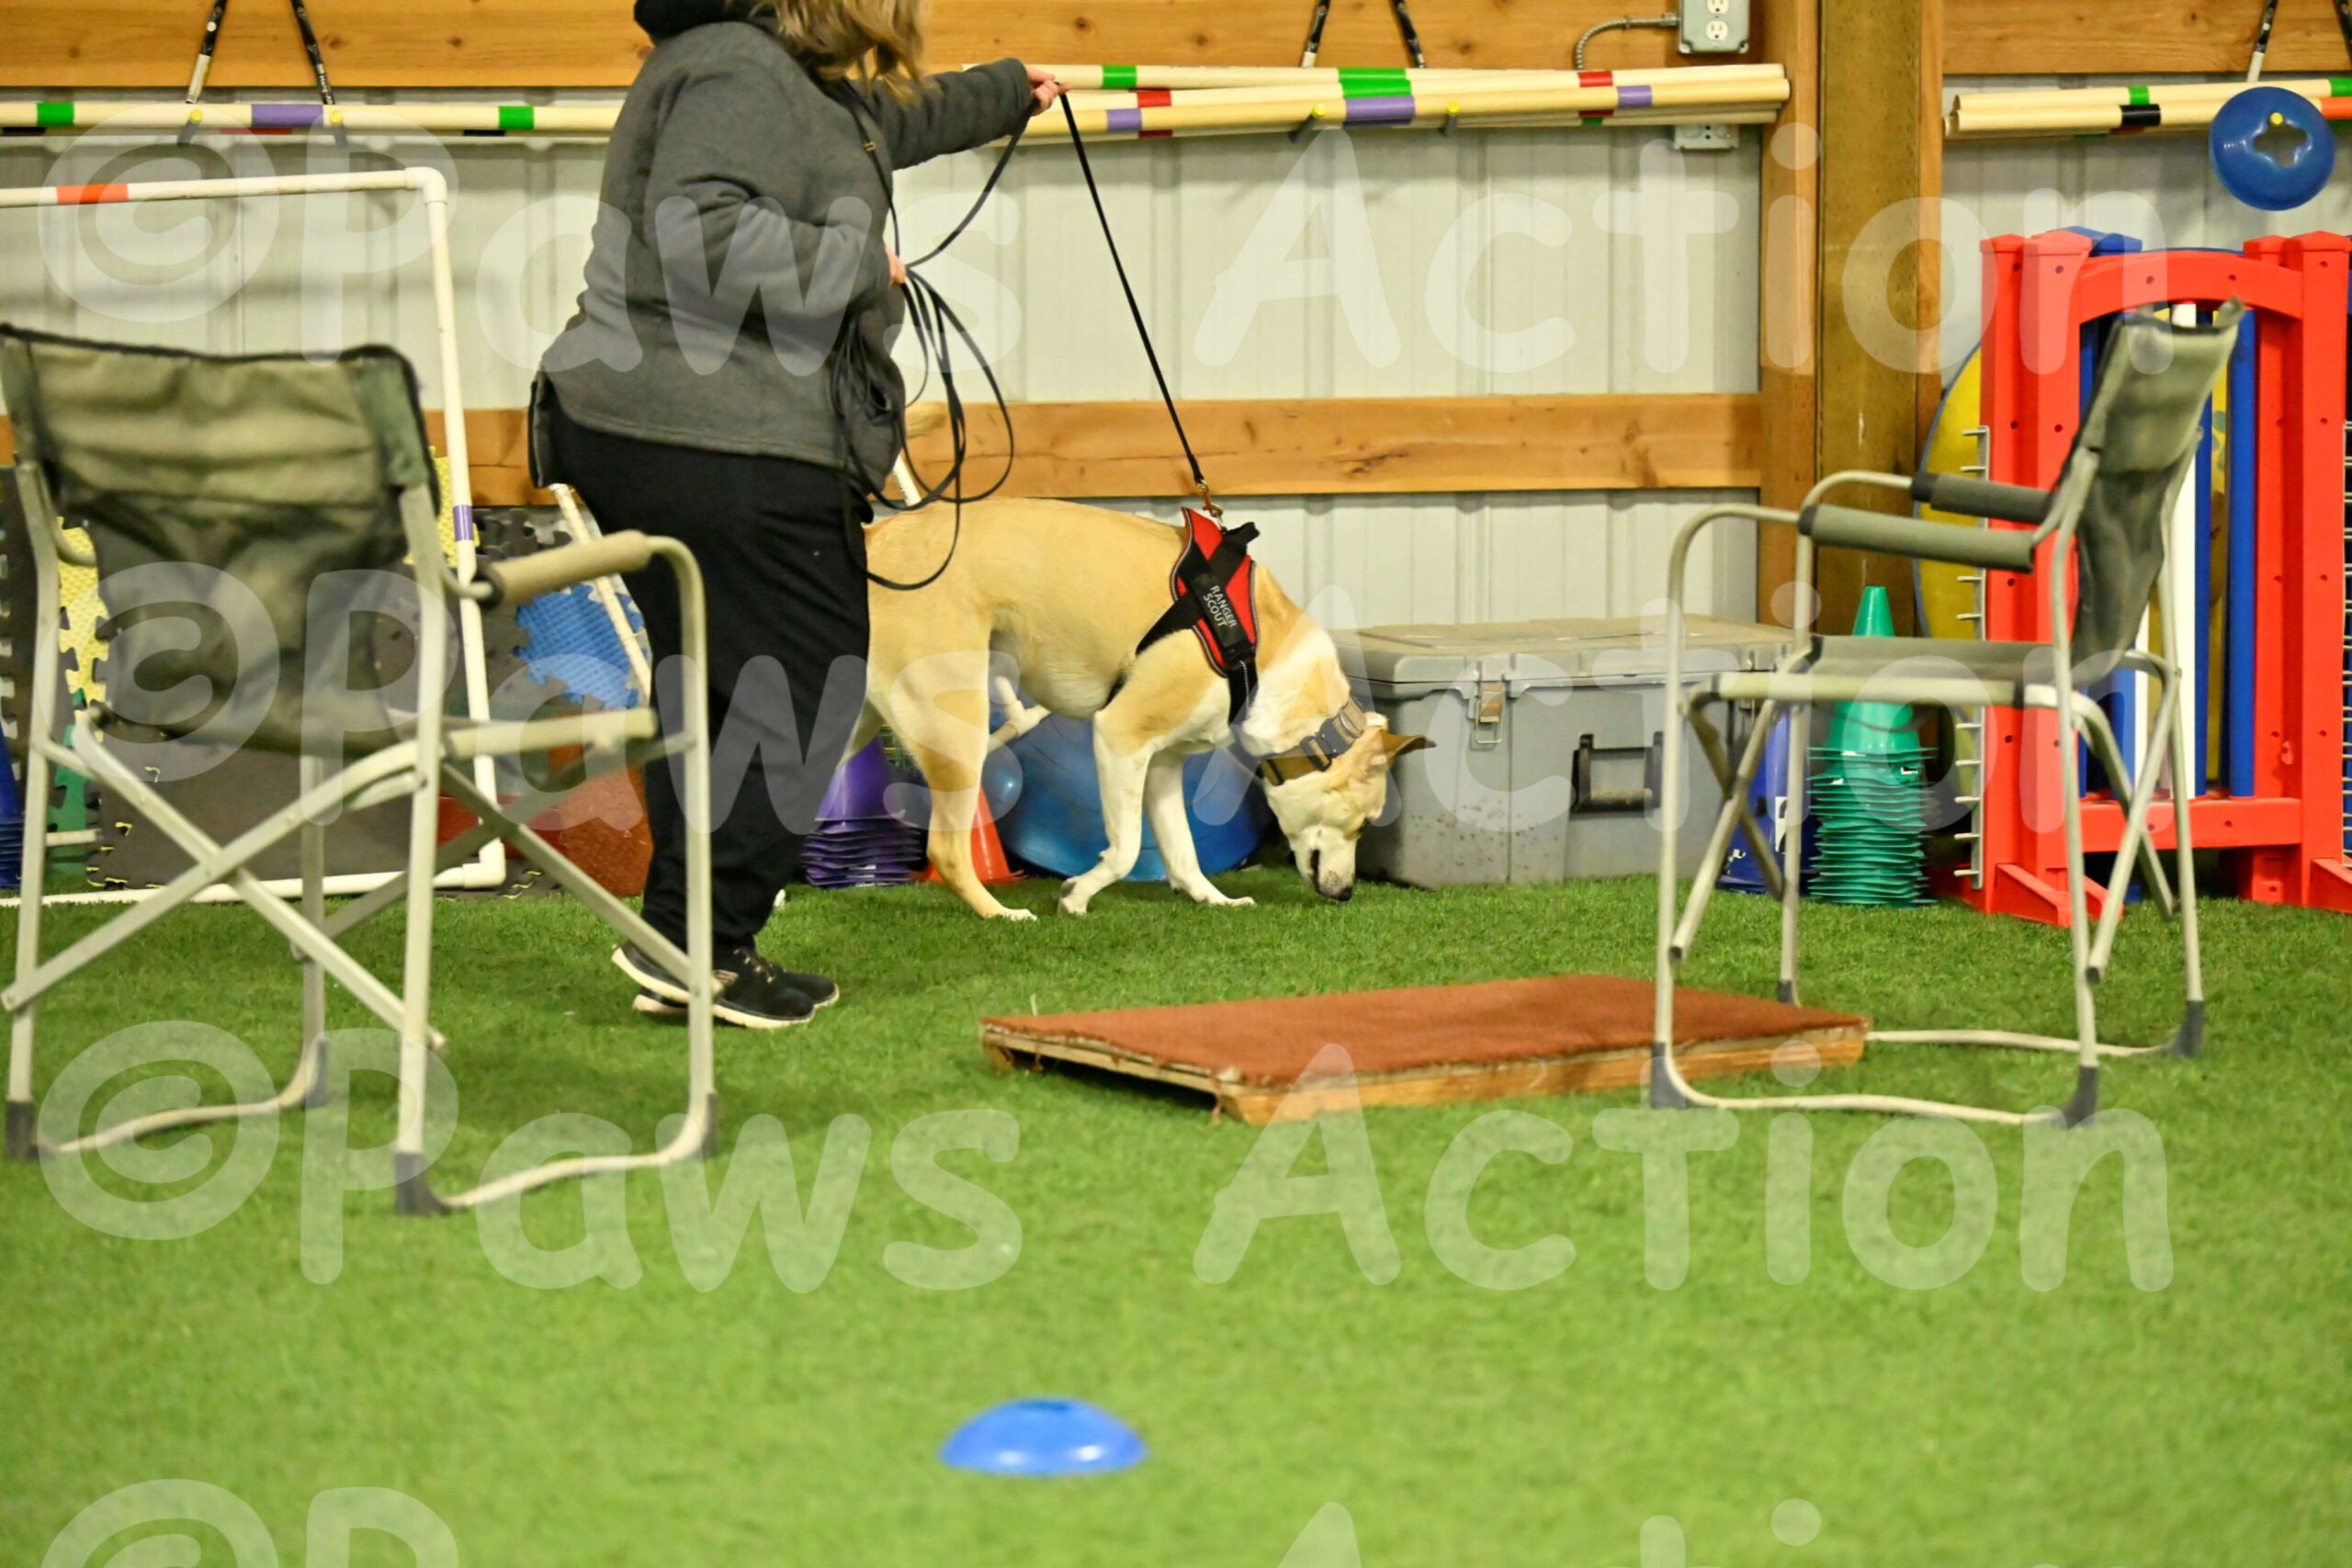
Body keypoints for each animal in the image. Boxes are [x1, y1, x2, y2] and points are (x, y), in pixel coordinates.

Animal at [857, 475, 1426, 922]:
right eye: (1363, 824)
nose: (1348, 894)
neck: (1260, 651)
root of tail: (875, 539)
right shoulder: (1120, 736)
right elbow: (1128, 848)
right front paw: (1076, 896)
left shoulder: (1164, 763)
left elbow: (1182, 849)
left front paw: (1214, 900)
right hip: (958, 724)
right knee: (947, 848)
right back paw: (1001, 913)